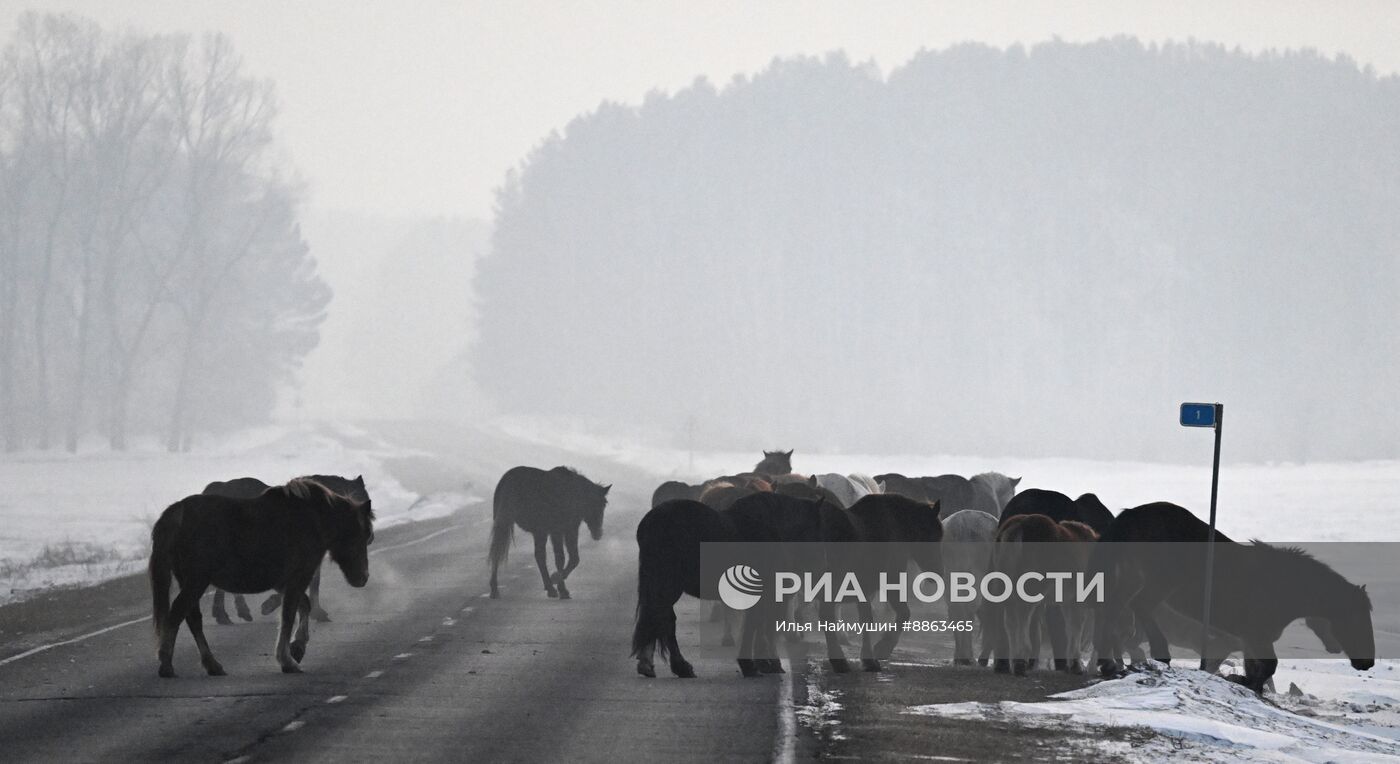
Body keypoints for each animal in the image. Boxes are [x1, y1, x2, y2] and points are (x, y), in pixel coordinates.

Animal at [150, 472, 375, 674]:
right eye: (361, 534)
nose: (363, 577)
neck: (316, 521)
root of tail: (176, 514)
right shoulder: (298, 576)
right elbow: (288, 615)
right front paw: (287, 659)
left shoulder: (285, 581)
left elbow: (303, 606)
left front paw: (297, 647)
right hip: (197, 580)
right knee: (178, 614)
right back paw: (167, 663)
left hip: (187, 579)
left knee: (192, 618)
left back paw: (212, 663)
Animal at [487, 461, 607, 598]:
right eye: (598, 504)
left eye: (604, 504)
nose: (598, 533)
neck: (573, 495)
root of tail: (507, 481)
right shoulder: (561, 531)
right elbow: (563, 559)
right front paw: (560, 584)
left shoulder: (565, 531)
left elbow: (573, 558)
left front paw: (558, 583)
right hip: (520, 526)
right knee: (501, 551)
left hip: (533, 530)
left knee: (533, 555)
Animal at [1086, 498, 1372, 688]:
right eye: (1356, 618)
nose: (1367, 662)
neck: (1281, 585)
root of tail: (1132, 514)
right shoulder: (1256, 635)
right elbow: (1267, 667)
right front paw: (1240, 681)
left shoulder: (1249, 640)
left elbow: (1259, 669)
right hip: (1159, 582)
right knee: (1139, 607)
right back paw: (1159, 653)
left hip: (1129, 578)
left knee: (1111, 610)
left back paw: (1108, 662)